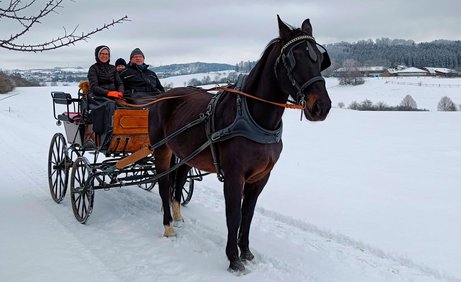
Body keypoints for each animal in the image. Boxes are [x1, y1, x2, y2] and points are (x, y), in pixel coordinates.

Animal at [147, 16, 330, 274]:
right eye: (293, 59)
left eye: (319, 58)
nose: (322, 106)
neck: (254, 117)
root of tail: (162, 96)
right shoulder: (234, 176)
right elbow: (233, 215)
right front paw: (233, 259)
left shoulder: (261, 177)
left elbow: (248, 214)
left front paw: (246, 251)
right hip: (161, 148)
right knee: (164, 184)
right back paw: (168, 226)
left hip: (185, 153)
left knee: (179, 181)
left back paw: (178, 215)